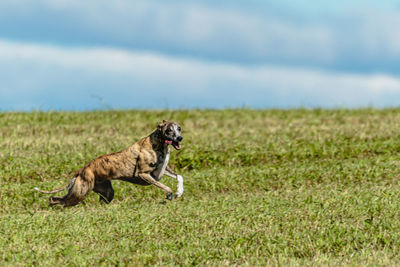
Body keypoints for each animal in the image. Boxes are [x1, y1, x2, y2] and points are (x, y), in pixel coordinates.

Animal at [34, 121, 184, 207]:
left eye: (179, 128)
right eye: (169, 130)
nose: (179, 138)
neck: (158, 144)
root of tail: (81, 170)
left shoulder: (162, 170)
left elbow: (179, 176)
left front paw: (179, 191)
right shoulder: (144, 174)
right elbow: (165, 186)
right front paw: (170, 194)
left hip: (104, 191)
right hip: (79, 193)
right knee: (57, 200)